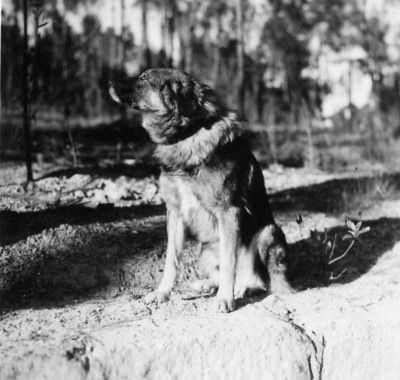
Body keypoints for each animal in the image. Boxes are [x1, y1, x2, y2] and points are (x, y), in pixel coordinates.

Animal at [109, 68, 294, 312]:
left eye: (143, 79)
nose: (109, 81)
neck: (187, 134)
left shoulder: (229, 212)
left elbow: (228, 263)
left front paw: (224, 299)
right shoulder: (175, 214)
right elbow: (171, 260)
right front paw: (161, 293)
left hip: (267, 233)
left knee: (261, 280)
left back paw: (240, 289)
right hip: (204, 252)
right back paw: (205, 285)